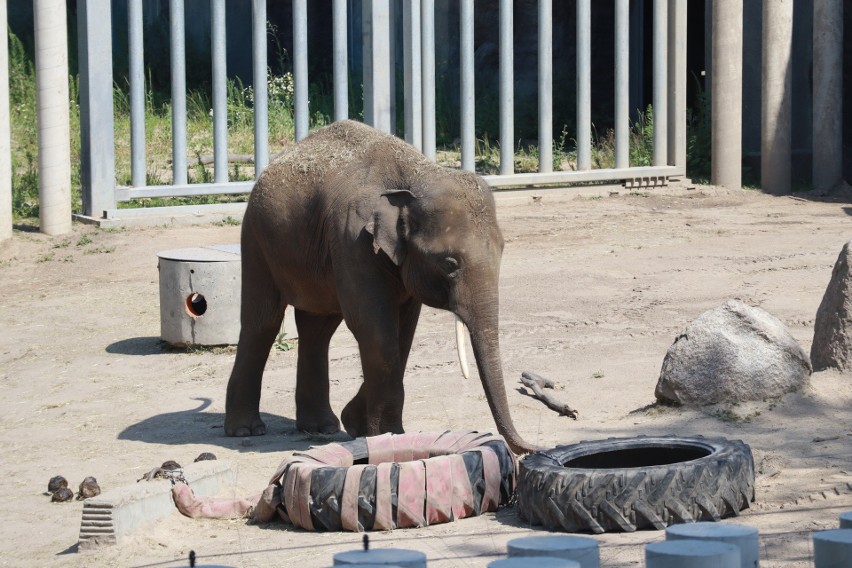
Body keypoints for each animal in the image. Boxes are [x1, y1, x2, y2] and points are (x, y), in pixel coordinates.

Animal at [223, 118, 536, 452]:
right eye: (449, 264)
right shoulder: (352, 238)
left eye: (502, 250)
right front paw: (386, 434)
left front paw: (357, 424)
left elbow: (403, 328)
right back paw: (245, 430)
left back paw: (323, 427)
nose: (531, 448)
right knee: (263, 322)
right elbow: (374, 325)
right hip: (256, 239)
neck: (415, 177)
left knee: (318, 327)